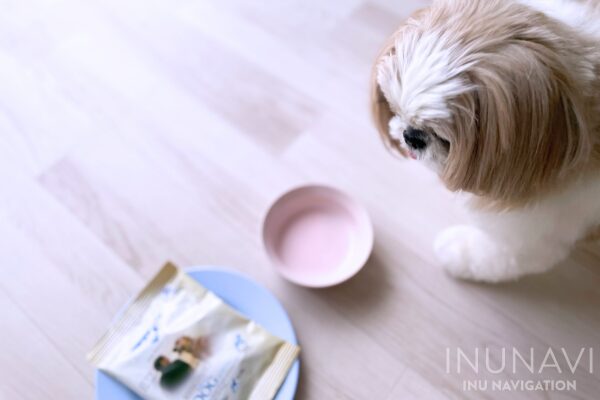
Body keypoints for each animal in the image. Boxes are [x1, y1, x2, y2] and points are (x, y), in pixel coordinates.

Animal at [370, 0, 600, 282]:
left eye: (444, 137)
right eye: (394, 109)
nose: (411, 136)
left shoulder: (538, 230)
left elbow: (503, 256)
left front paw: (458, 252)